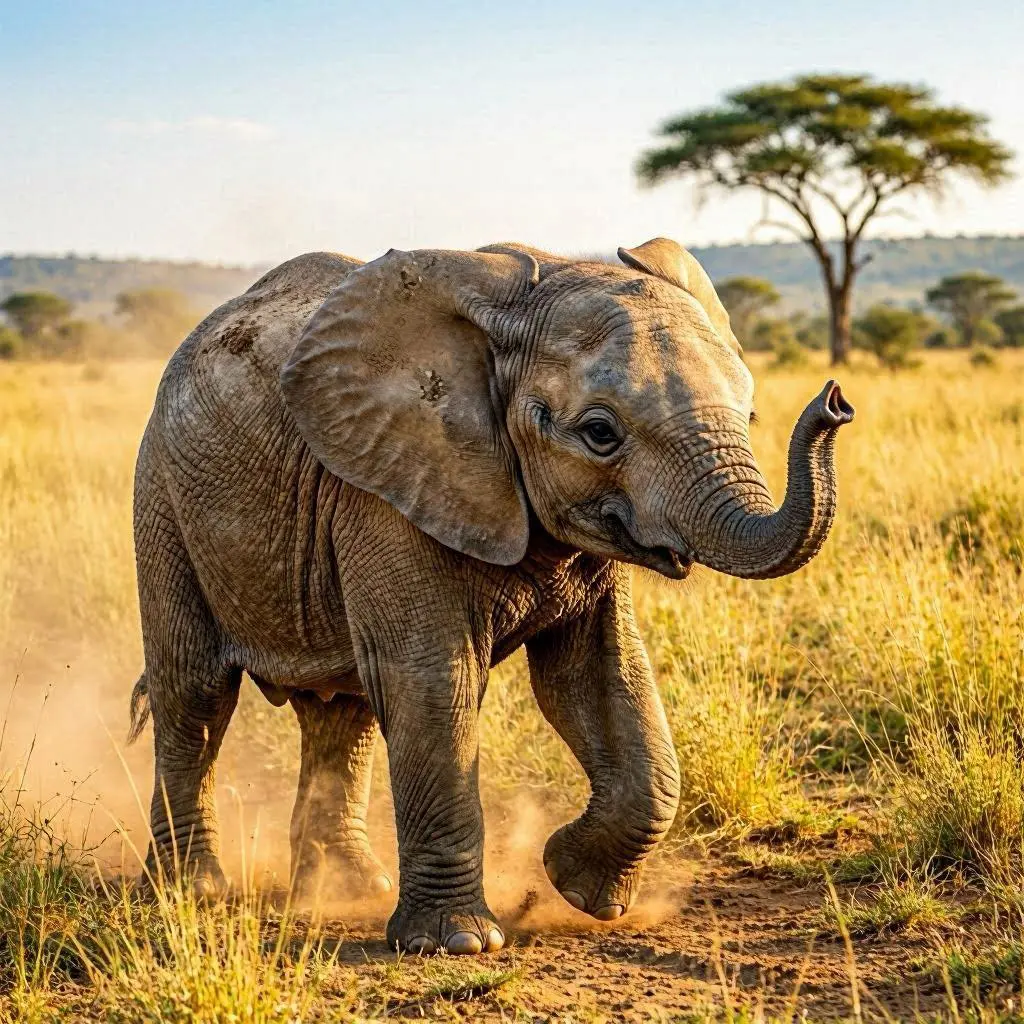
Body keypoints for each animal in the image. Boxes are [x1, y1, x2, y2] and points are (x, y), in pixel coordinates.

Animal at [127, 236, 853, 956]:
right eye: (600, 433)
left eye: (749, 414)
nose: (836, 401)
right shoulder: (389, 487)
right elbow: (431, 684)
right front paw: (458, 943)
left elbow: (598, 680)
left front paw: (575, 886)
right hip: (162, 493)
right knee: (194, 693)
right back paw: (192, 892)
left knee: (342, 712)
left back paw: (345, 889)